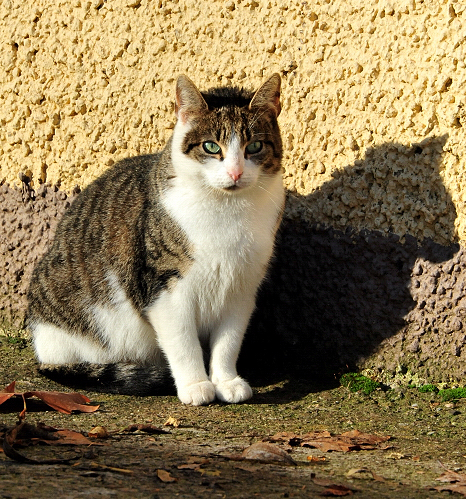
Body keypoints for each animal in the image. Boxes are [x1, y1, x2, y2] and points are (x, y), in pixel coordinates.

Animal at [28, 73, 288, 406]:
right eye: (211, 146)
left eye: (254, 146)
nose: (235, 173)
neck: (226, 208)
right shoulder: (163, 287)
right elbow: (183, 341)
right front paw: (196, 385)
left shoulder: (241, 287)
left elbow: (228, 341)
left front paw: (226, 381)